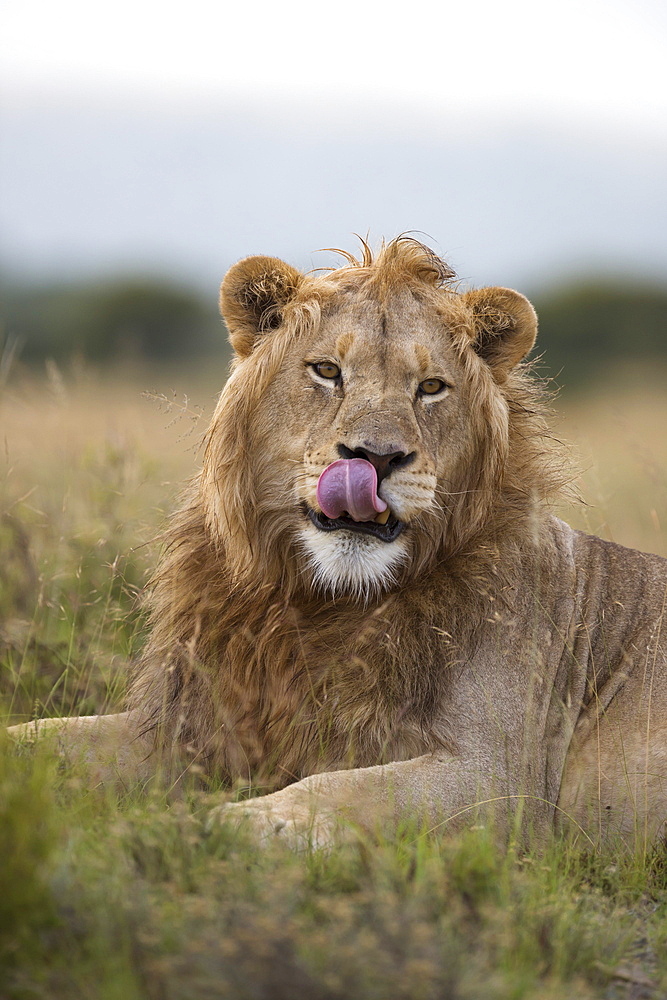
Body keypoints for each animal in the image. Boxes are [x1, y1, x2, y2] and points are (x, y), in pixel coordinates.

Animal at [9, 236, 667, 852]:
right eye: (326, 371)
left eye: (431, 387)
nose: (375, 457)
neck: (316, 603)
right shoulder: (192, 724)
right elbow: (46, 733)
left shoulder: (504, 778)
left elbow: (339, 787)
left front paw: (226, 825)